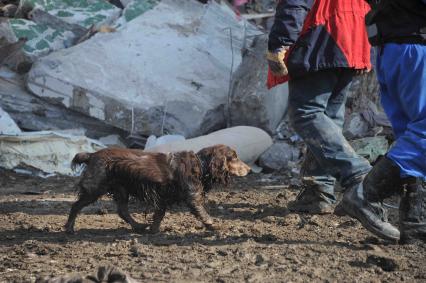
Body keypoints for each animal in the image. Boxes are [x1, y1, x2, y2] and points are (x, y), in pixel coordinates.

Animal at [63, 145, 250, 234]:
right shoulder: (192, 197)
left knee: (123, 211)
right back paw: (70, 228)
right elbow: (204, 214)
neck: (201, 164)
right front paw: (215, 226)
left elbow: (158, 215)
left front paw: (153, 230)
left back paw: (139, 226)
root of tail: (91, 155)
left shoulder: (162, 198)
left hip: (121, 189)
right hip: (95, 188)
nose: (249, 169)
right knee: (75, 206)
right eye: (234, 157)